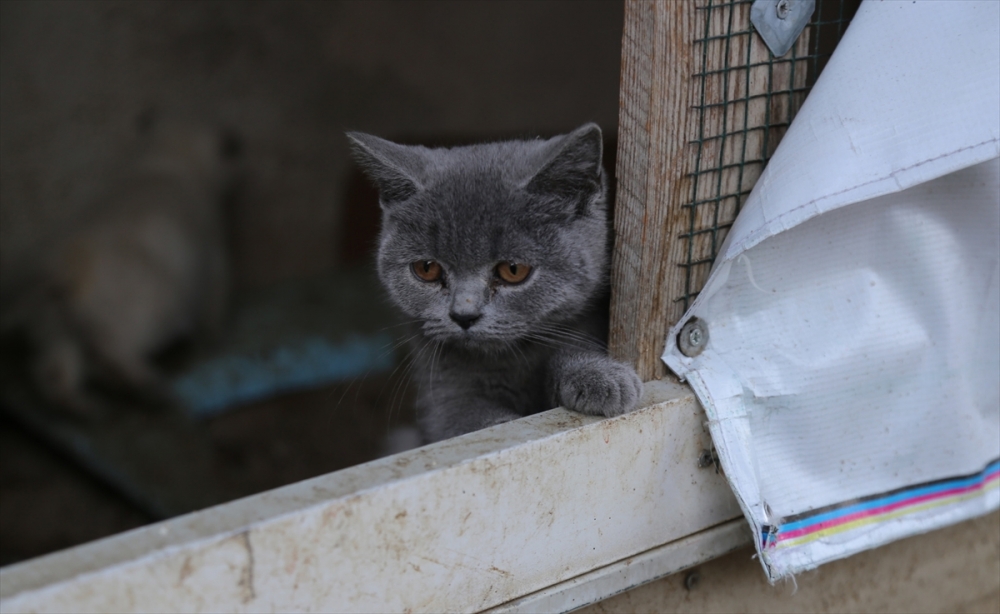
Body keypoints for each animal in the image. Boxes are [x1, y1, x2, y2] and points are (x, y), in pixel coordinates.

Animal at [350, 124, 640, 442]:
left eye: (513, 270)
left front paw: (598, 376)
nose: (464, 315)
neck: (509, 361)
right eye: (426, 268)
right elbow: (477, 426)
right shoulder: (442, 399)